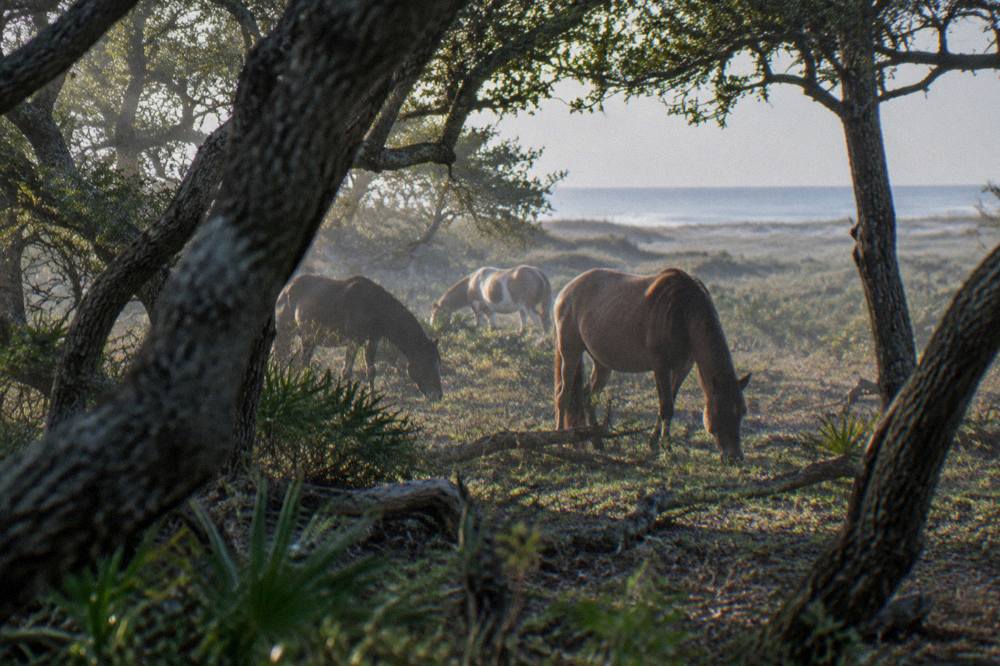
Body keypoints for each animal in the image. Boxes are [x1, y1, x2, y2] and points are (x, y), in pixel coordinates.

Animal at [274, 274, 443, 401]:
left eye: (438, 363)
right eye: (427, 363)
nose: (438, 395)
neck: (376, 307)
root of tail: (285, 290)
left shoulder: (373, 340)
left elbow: (371, 371)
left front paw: (372, 400)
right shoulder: (354, 340)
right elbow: (346, 372)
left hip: (307, 338)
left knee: (301, 362)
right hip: (286, 333)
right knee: (281, 357)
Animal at [553, 268, 750, 462]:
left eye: (742, 412)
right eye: (722, 411)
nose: (736, 456)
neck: (683, 311)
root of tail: (565, 292)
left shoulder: (682, 367)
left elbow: (669, 402)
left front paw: (655, 442)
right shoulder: (661, 366)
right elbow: (666, 407)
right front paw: (666, 447)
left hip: (602, 363)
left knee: (589, 396)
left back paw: (596, 441)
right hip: (570, 352)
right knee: (563, 396)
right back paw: (559, 441)